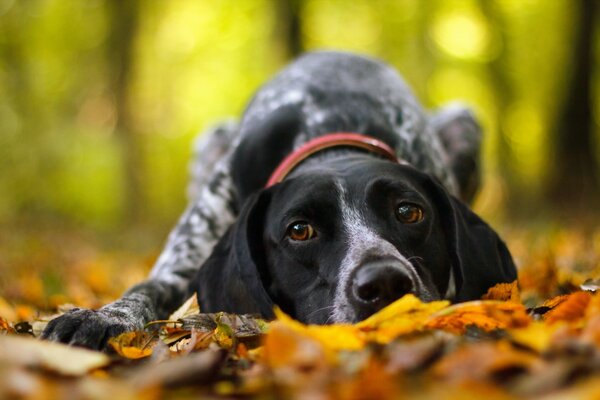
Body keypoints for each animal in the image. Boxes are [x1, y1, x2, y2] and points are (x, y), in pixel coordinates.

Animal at [42, 51, 516, 348]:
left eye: (409, 212)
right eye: (300, 230)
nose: (383, 282)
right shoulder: (193, 245)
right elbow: (146, 286)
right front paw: (102, 316)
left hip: (464, 121)